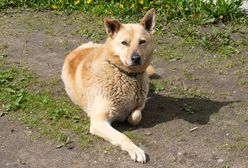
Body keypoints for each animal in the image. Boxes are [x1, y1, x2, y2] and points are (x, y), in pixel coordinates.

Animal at [61, 8, 155, 163]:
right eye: (124, 43)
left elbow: (136, 116)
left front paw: (129, 117)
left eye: (142, 42)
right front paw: (135, 150)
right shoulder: (99, 122)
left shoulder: (140, 104)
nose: (136, 58)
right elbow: (123, 136)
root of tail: (81, 47)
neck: (126, 75)